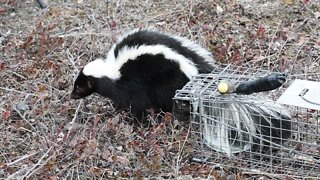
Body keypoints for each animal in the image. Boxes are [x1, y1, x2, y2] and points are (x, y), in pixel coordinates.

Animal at [71, 28, 216, 118]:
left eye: (79, 87)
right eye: (76, 85)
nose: (72, 96)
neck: (112, 71)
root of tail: (188, 61)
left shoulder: (131, 84)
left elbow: (138, 103)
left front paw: (137, 121)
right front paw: (118, 107)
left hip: (168, 80)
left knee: (166, 100)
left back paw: (162, 115)